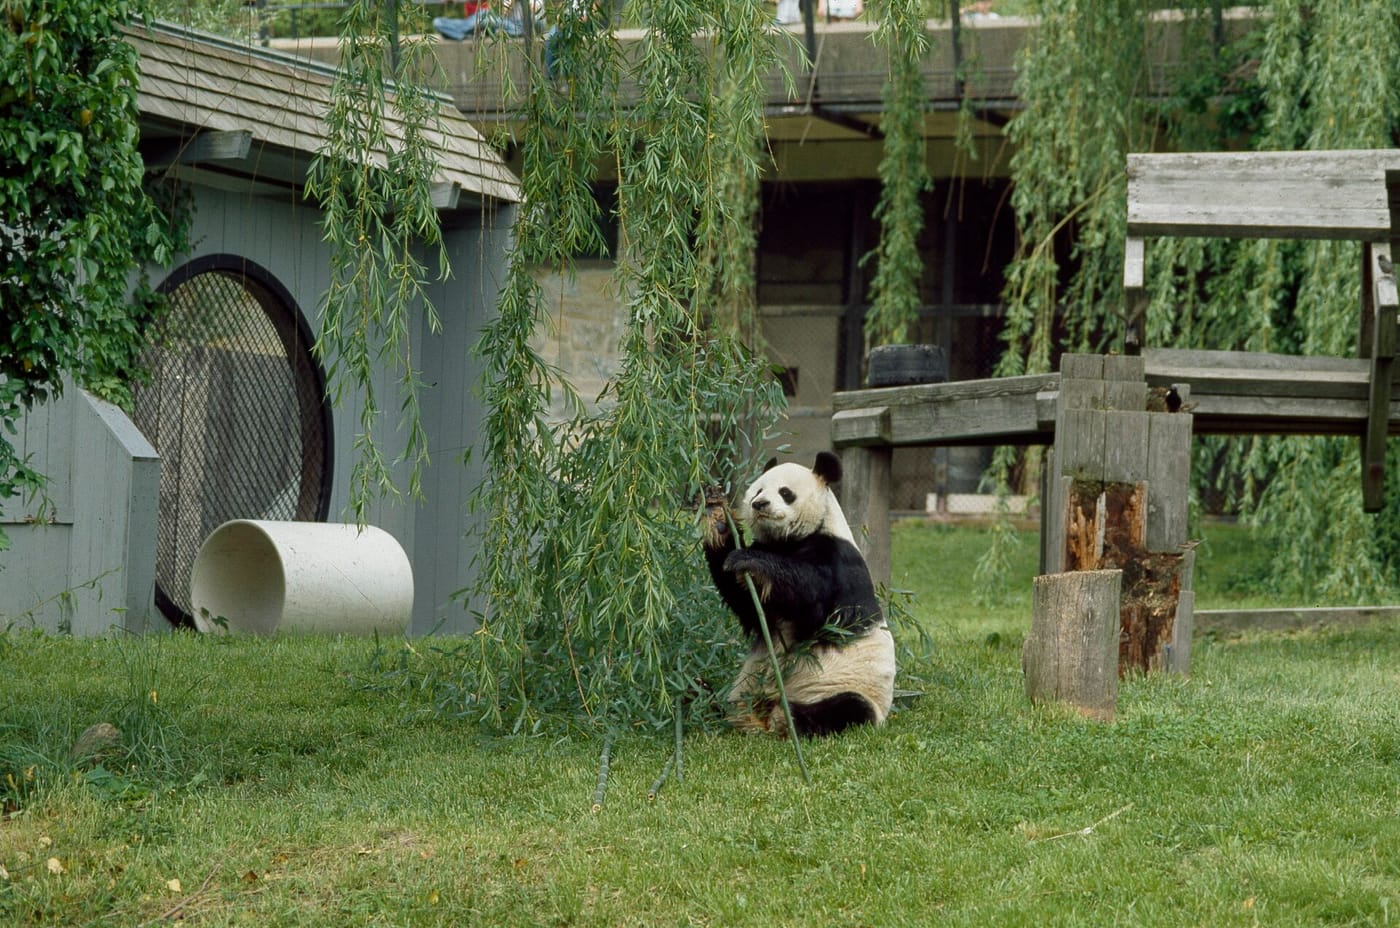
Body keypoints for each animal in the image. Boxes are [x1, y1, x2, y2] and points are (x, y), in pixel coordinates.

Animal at [700, 451, 896, 738]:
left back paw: (786, 717)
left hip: (847, 688)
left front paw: (751, 561)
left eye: (785, 492)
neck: (789, 541)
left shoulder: (840, 561)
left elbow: (813, 599)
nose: (760, 504)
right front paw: (719, 521)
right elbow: (747, 604)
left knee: (847, 708)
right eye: (758, 489)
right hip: (743, 690)